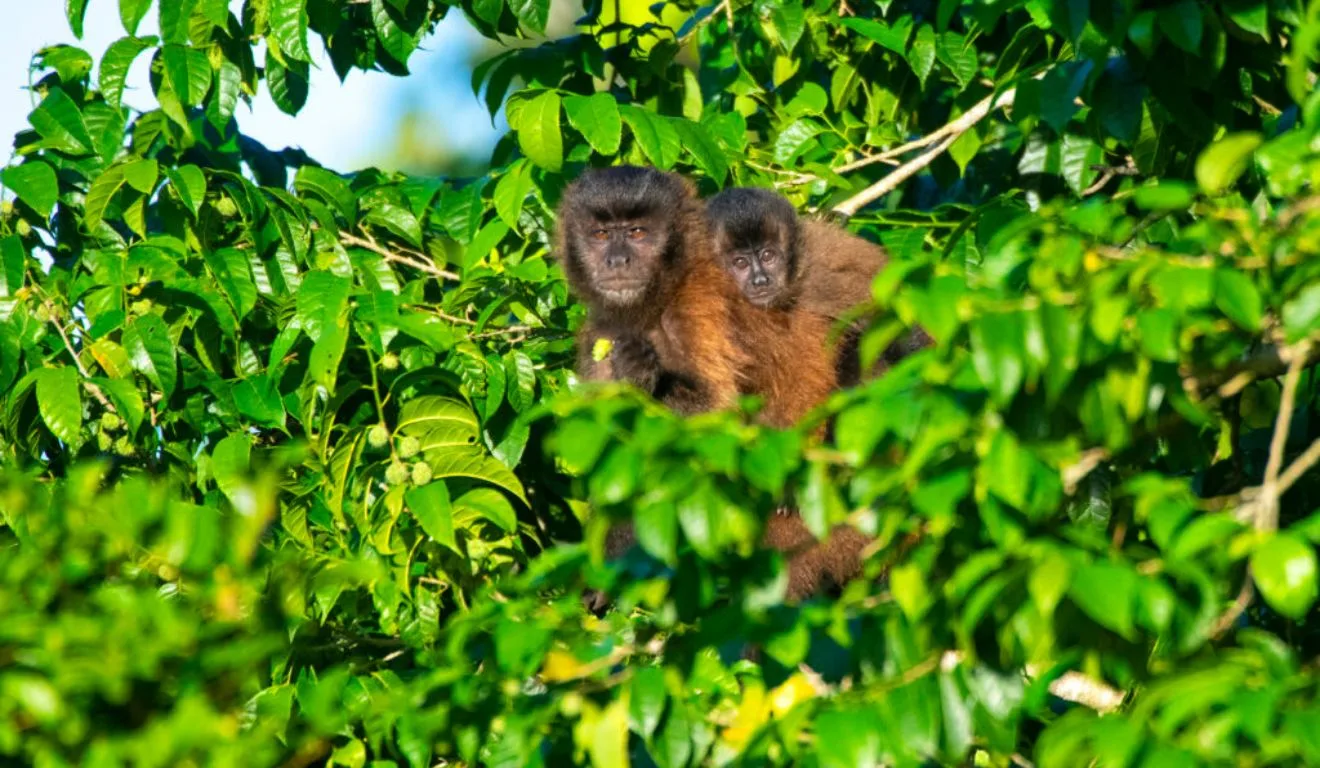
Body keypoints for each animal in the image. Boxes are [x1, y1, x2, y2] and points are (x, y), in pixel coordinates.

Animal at [551, 165, 860, 612]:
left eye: (638, 232)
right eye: (602, 234)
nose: (617, 260)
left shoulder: (696, 306)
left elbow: (716, 423)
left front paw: (641, 374)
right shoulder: (602, 331)